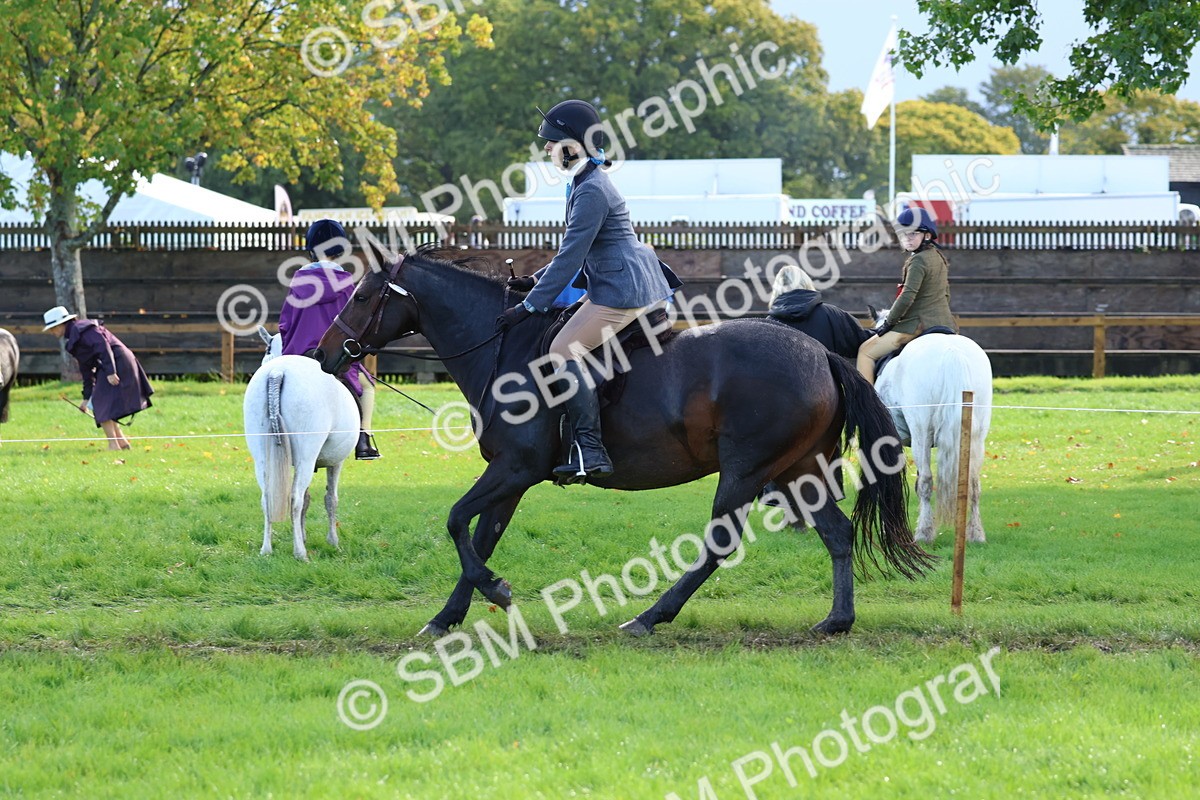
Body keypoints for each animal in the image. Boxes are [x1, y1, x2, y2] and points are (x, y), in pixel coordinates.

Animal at [243, 327, 359, 561]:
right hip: (307, 457)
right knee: (294, 498)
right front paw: (333, 541)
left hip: (262, 459)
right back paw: (300, 552)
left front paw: (303, 535)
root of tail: (277, 372)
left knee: (267, 498)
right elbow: (329, 499)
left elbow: (307, 499)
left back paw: (266, 549)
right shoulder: (335, 463)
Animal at [312, 246, 935, 636]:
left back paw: (649, 617)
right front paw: (451, 615)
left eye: (362, 296)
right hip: (797, 470)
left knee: (719, 544)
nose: (322, 354)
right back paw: (837, 620)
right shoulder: (510, 478)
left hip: (746, 472)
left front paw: (496, 592)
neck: (503, 348)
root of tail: (822, 354)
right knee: (837, 533)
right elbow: (479, 536)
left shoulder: (514, 469)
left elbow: (455, 520)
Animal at [868, 308, 993, 543]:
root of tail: (952, 351)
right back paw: (975, 533)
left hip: (921, 434)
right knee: (973, 484)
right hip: (977, 435)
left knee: (927, 481)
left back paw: (924, 533)